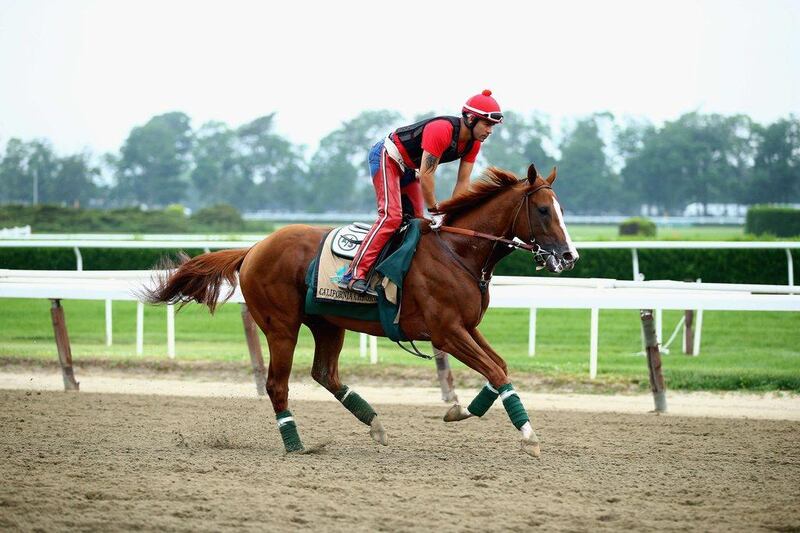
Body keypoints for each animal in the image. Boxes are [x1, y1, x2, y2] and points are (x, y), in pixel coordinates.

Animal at [147, 163, 580, 458]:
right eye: (544, 210)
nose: (569, 256)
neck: (458, 251)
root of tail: (253, 248)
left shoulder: (467, 326)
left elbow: (499, 367)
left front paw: (460, 411)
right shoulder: (446, 331)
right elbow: (495, 371)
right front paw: (529, 437)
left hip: (327, 323)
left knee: (325, 374)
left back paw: (375, 424)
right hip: (281, 325)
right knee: (277, 385)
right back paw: (296, 445)